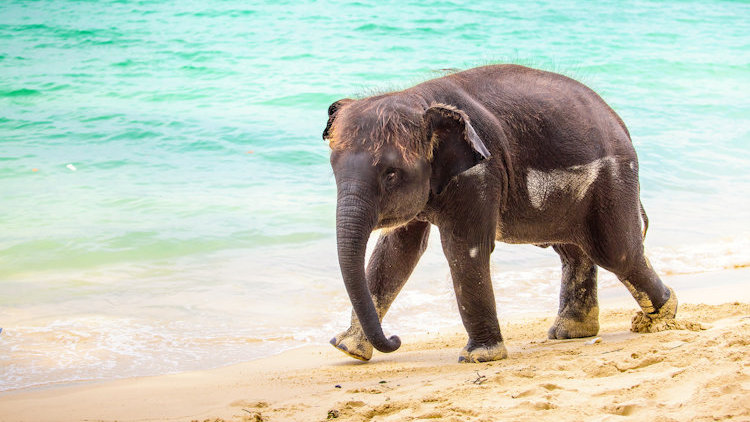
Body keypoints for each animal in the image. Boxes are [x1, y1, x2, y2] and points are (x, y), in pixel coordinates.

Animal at [326, 64, 680, 364]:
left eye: (391, 174)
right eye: (333, 168)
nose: (396, 339)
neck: (418, 98)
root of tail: (620, 122)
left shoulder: (482, 172)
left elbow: (464, 249)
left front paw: (480, 357)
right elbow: (397, 253)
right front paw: (349, 349)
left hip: (614, 179)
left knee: (616, 252)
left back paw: (660, 318)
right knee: (574, 252)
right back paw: (572, 332)